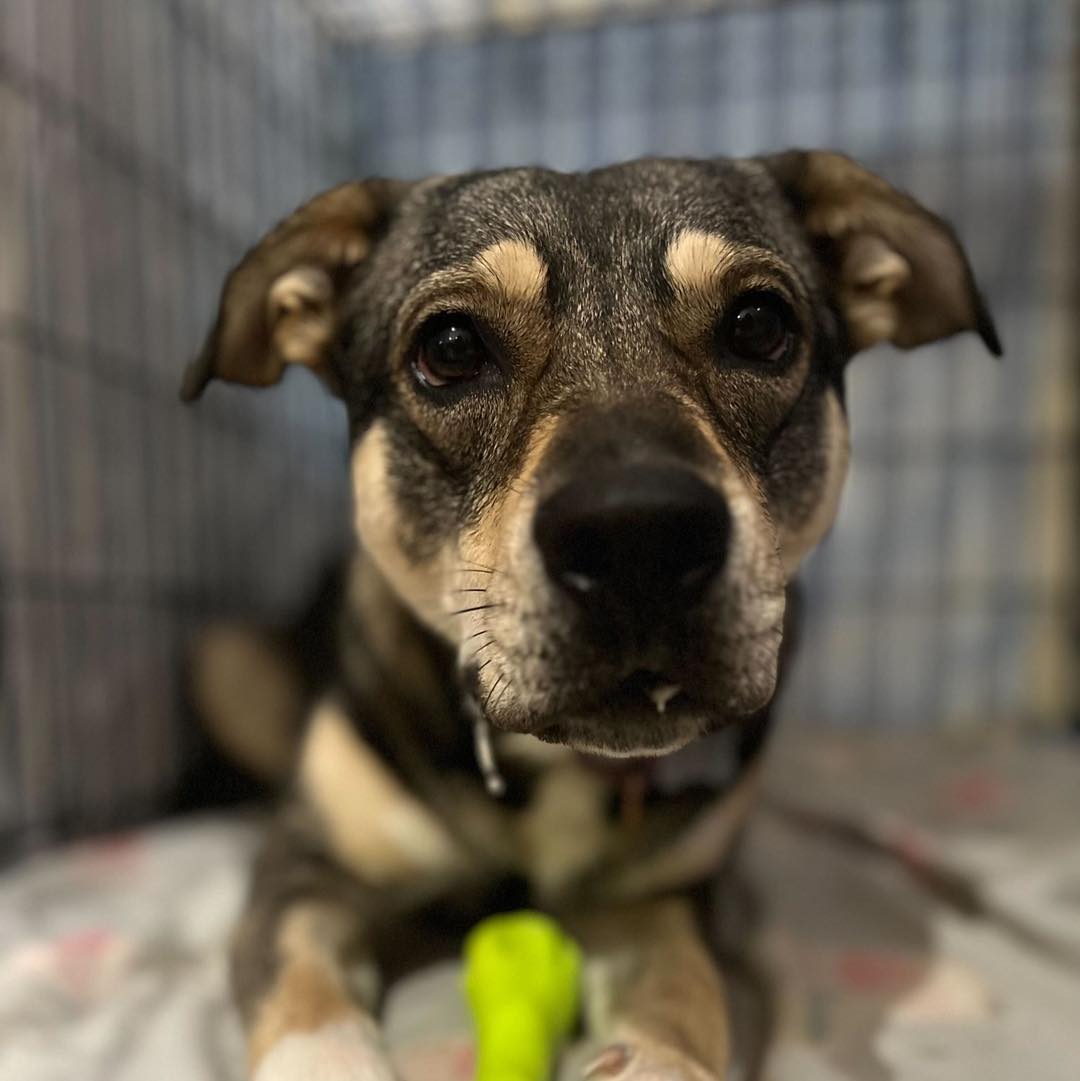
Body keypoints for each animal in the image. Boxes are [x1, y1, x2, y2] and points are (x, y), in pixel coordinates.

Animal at [181, 150, 998, 1081]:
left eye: (760, 325)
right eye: (450, 347)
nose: (638, 535)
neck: (543, 767)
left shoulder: (663, 897)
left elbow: (684, 986)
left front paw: (658, 1060)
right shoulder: (303, 872)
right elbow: (305, 992)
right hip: (222, 661)